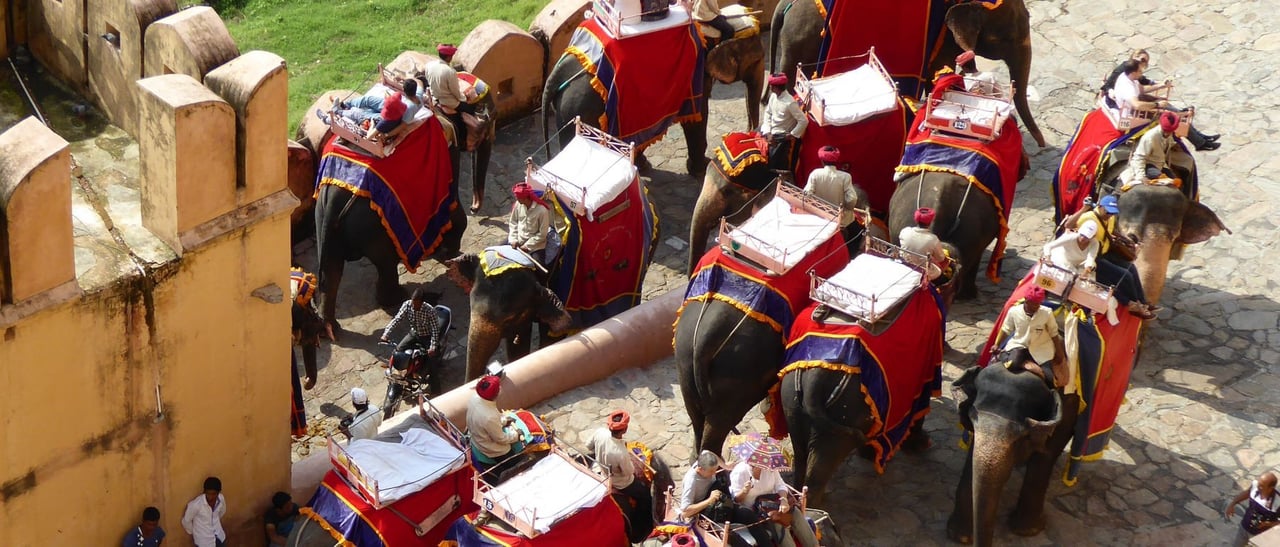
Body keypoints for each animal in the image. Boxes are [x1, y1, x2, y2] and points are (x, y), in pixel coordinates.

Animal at [537, 32, 757, 178]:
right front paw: (702, 169)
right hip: (580, 106)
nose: (749, 132)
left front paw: (642, 166)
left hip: (566, 109)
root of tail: (556, 73)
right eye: (754, 58)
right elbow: (698, 116)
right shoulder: (695, 74)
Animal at [762, 0, 1044, 147]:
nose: (1041, 144)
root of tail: (782, 6)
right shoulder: (942, 37)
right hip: (799, 42)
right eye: (1009, 36)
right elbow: (940, 73)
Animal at [947, 361, 1075, 545]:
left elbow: (1048, 451)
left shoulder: (1070, 403)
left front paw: (1027, 531)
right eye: (971, 420)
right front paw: (961, 537)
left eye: (1020, 437)